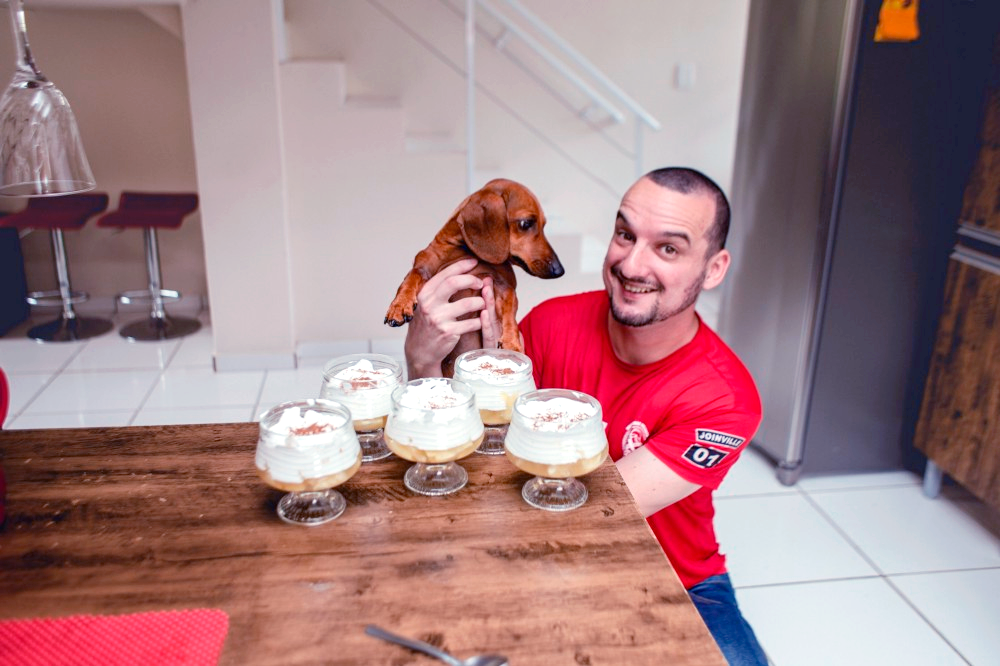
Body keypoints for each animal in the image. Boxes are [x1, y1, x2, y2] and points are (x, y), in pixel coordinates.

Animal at [386, 178, 568, 374]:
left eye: (543, 225)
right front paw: (399, 306)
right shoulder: (424, 266)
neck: (466, 251)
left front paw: (512, 342)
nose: (559, 270)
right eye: (526, 223)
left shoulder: (502, 285)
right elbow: (411, 278)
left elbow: (510, 302)